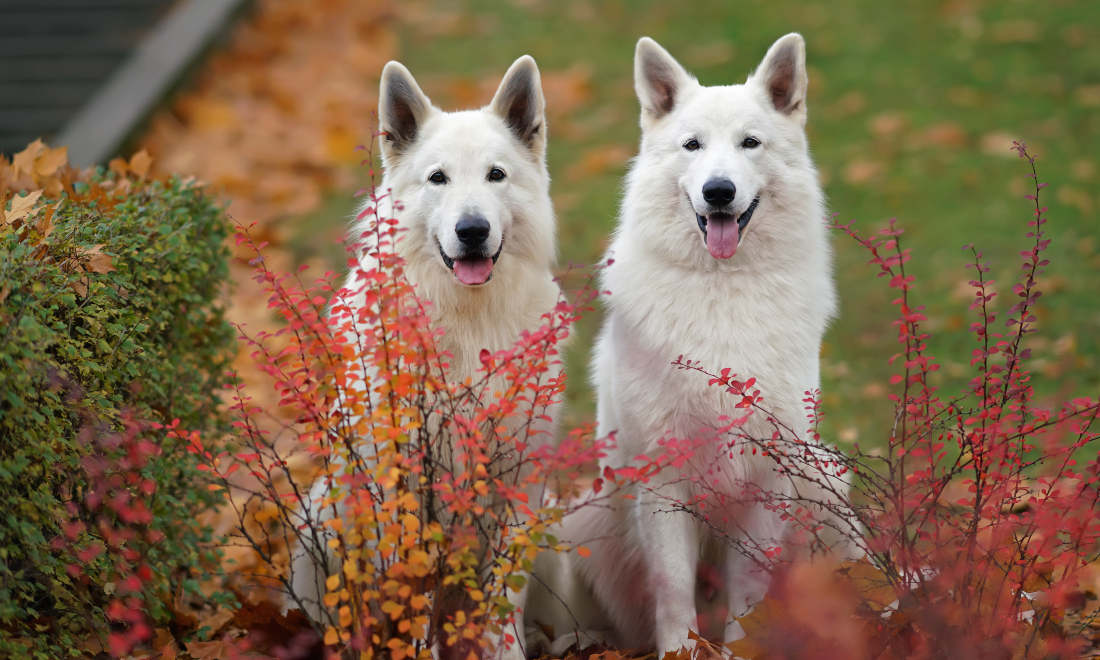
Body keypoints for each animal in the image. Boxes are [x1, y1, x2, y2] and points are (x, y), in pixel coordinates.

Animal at [286, 52, 558, 660]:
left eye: (496, 175)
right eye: (438, 178)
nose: (472, 230)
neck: (464, 317)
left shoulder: (518, 481)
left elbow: (503, 595)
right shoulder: (401, 480)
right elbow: (409, 586)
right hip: (319, 520)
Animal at [541, 34, 849, 655]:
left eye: (750, 142)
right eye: (692, 145)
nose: (718, 191)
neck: (720, 289)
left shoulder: (766, 483)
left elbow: (749, 598)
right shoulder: (664, 482)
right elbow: (674, 592)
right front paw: (680, 651)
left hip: (826, 482)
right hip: (588, 517)